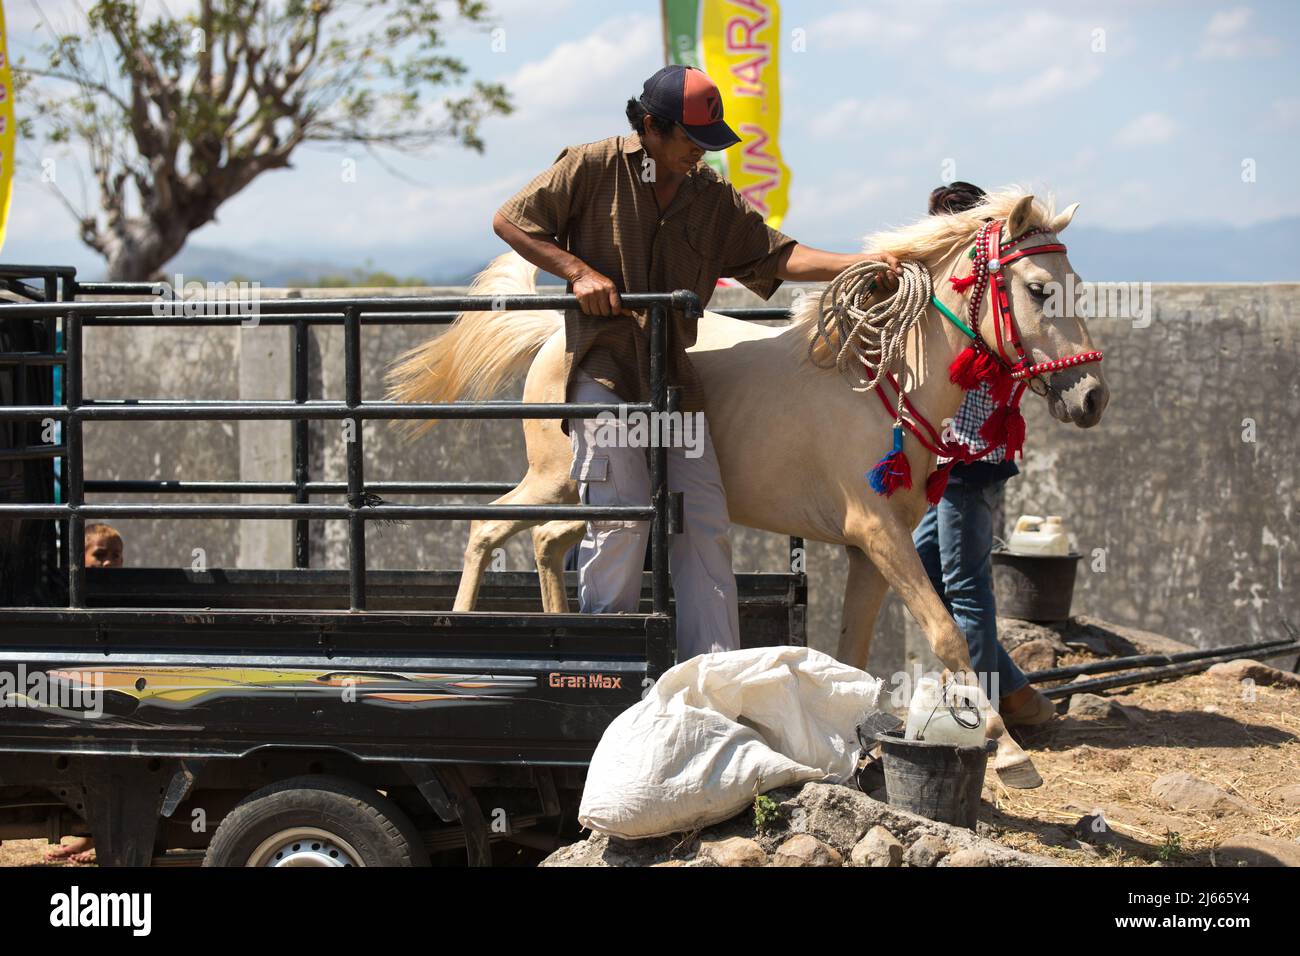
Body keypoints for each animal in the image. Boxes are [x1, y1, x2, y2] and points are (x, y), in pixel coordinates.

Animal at [386, 190, 1110, 788]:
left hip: (586, 497)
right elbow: (947, 633)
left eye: (1077, 286)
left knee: (543, 542)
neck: (884, 379)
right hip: (559, 479)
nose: (1092, 397)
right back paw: (456, 646)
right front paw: (1008, 750)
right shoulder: (878, 533)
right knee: (488, 528)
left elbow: (852, 651)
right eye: (1039, 288)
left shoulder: (870, 547)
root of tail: (552, 336)